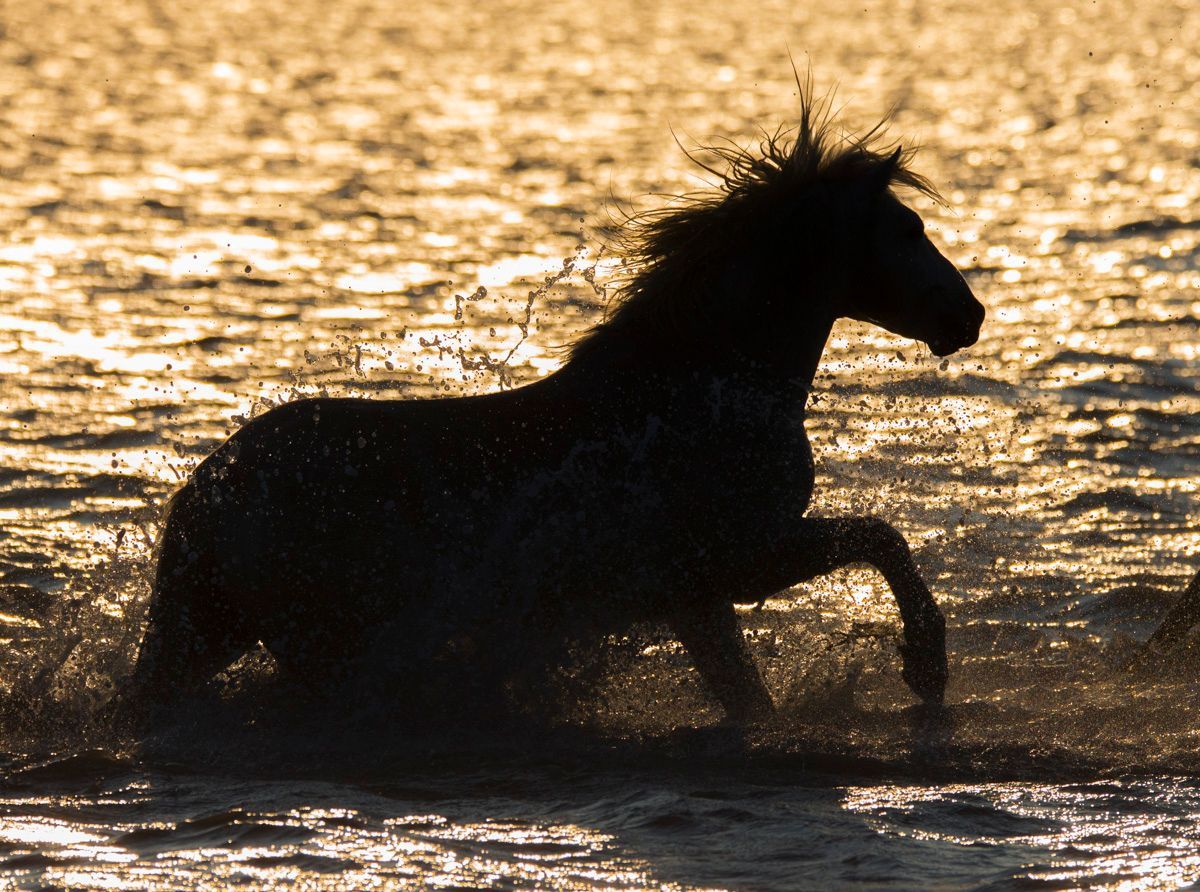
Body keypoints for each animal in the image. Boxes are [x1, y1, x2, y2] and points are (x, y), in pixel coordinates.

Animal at [130, 93, 985, 727]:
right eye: (907, 228)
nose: (968, 315)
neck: (698, 393)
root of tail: (207, 485)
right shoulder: (738, 560)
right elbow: (879, 538)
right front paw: (926, 665)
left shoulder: (700, 595)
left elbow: (751, 695)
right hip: (298, 637)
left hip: (240, 631)